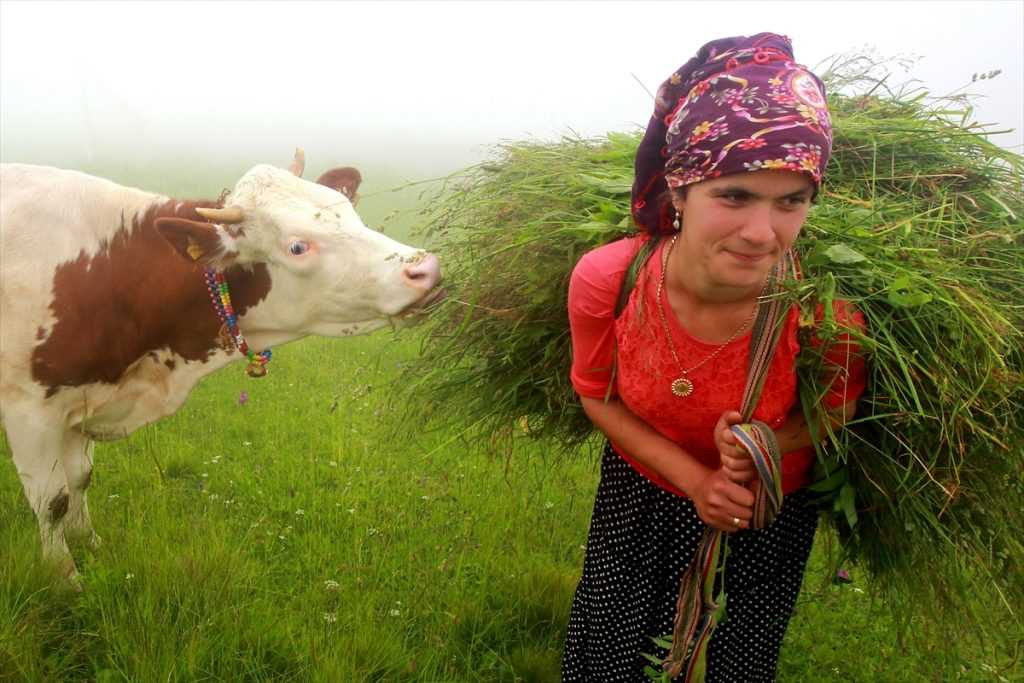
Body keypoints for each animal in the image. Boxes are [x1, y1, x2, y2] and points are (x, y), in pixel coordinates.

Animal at [0, 152, 442, 585]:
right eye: (297, 247)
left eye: (350, 211)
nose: (425, 269)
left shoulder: (84, 398)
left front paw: (89, 543)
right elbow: (52, 500)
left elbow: (80, 478)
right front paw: (64, 577)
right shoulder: (30, 410)